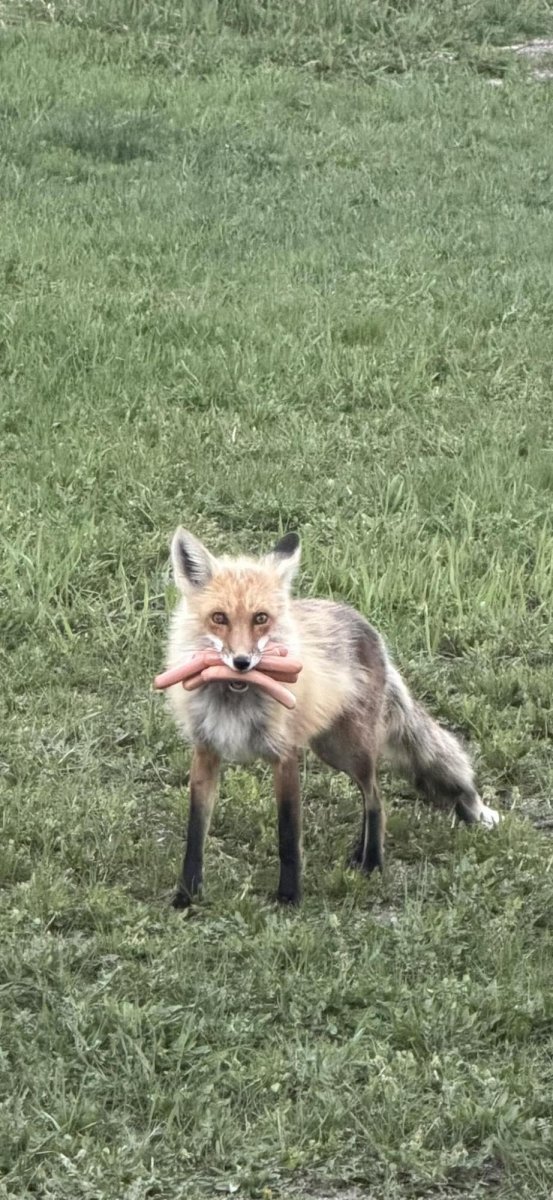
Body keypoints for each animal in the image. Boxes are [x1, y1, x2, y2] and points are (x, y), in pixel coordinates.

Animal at [163, 527, 499, 908]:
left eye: (261, 618)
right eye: (219, 618)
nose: (242, 662)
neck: (235, 698)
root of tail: (369, 628)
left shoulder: (285, 755)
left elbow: (288, 835)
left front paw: (289, 897)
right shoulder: (206, 753)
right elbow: (195, 834)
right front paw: (186, 896)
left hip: (350, 749)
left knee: (376, 799)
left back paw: (372, 863)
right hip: (330, 747)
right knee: (372, 797)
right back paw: (358, 854)